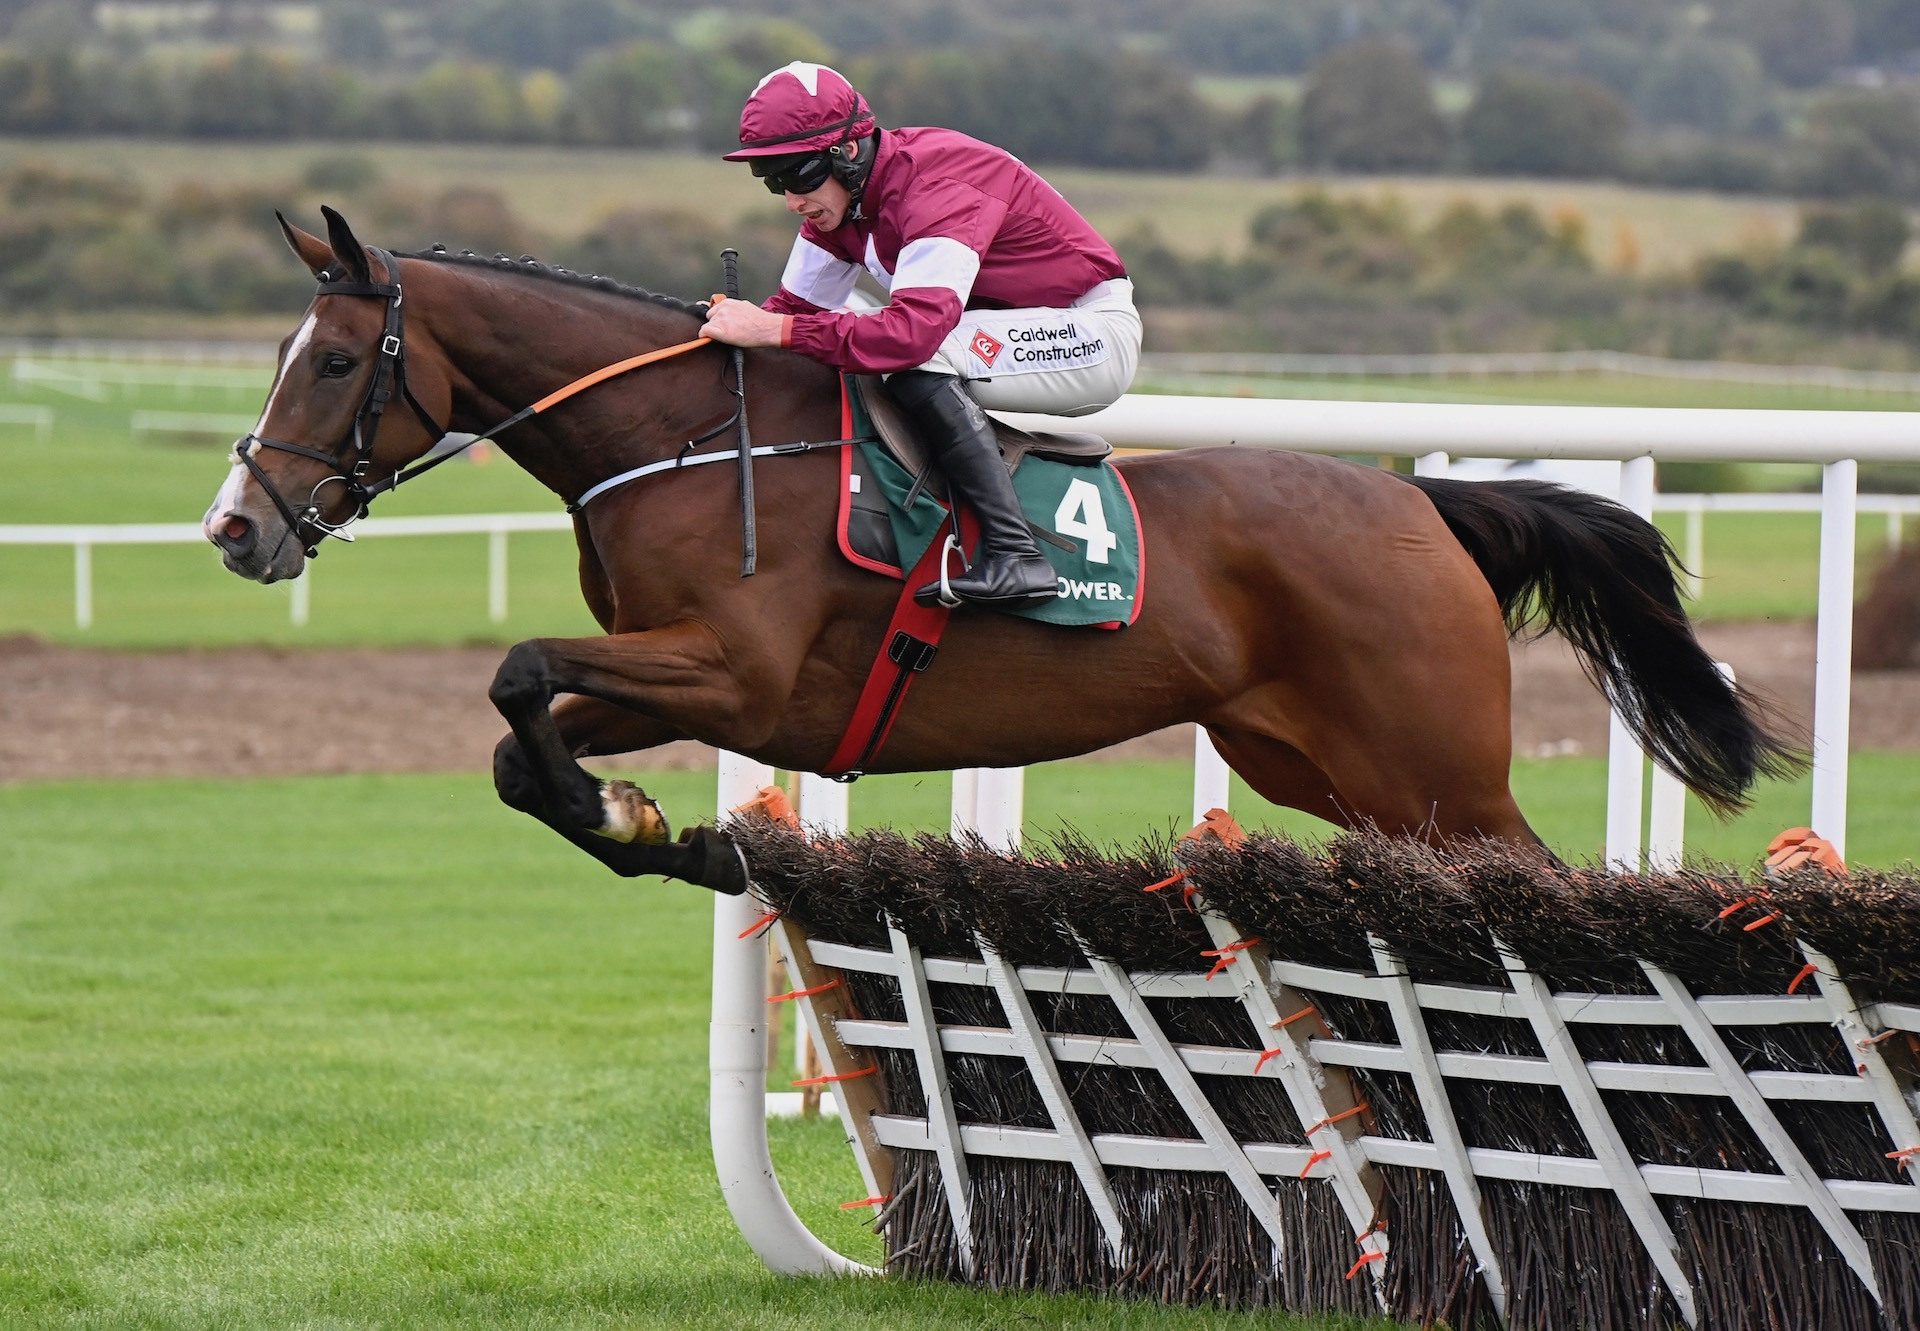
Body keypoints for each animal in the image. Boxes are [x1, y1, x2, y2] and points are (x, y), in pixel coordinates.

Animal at [202, 210, 1804, 891]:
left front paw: (654, 823)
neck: (687, 434)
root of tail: (1423, 507)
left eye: (333, 360)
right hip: (1329, 766)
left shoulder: (734, 671)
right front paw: (648, 822)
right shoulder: (674, 676)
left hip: (1434, 766)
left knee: (1543, 870)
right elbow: (514, 733)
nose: (236, 528)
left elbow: (517, 668)